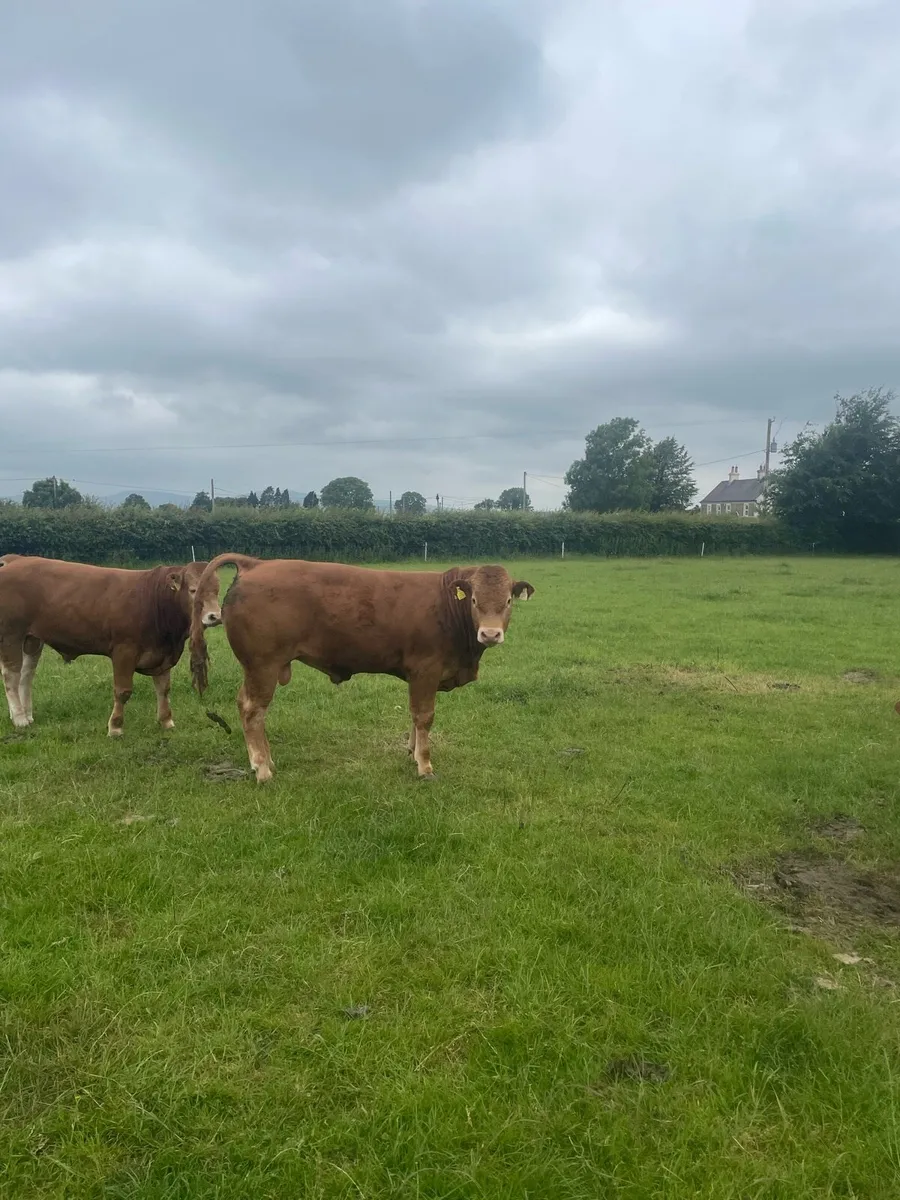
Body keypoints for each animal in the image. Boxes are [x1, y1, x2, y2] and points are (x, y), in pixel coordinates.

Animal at [0, 553, 209, 736]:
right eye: (193, 590)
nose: (211, 616)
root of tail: (16, 560)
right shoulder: (123, 651)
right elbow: (123, 691)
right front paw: (115, 728)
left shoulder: (163, 655)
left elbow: (163, 689)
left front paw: (166, 721)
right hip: (11, 635)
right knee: (11, 676)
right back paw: (19, 718)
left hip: (32, 639)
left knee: (26, 675)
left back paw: (27, 715)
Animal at [189, 554, 535, 782]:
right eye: (474, 600)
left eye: (507, 602)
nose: (490, 634)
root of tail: (256, 563)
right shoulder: (426, 669)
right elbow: (424, 716)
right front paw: (424, 766)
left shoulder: (418, 677)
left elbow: (414, 716)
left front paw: (412, 751)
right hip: (263, 665)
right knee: (252, 711)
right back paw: (262, 768)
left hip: (256, 667)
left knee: (244, 705)